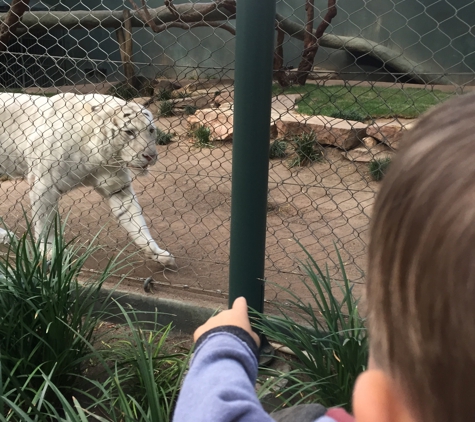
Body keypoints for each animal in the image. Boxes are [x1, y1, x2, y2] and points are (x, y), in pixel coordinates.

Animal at [0, 93, 177, 268]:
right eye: (129, 132)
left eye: (151, 130)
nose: (151, 156)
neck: (103, 156)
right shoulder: (44, 186)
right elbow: (45, 224)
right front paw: (48, 253)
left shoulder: (118, 187)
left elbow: (137, 223)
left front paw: (158, 253)